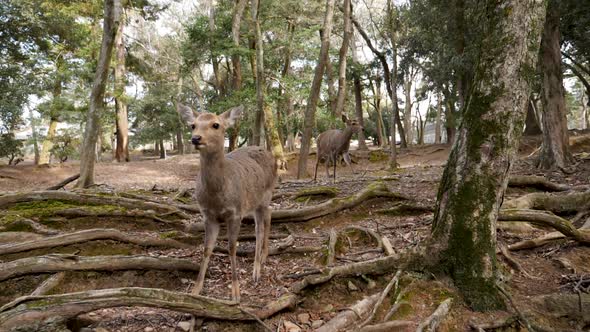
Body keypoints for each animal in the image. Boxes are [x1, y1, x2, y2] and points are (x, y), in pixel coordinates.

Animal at [177, 104, 278, 304]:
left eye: (216, 124)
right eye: (193, 125)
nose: (196, 138)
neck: (217, 196)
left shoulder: (235, 212)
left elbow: (232, 248)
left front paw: (236, 293)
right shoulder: (208, 215)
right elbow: (207, 249)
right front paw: (195, 290)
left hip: (266, 193)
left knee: (260, 228)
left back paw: (256, 271)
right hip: (256, 201)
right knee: (269, 214)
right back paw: (263, 257)